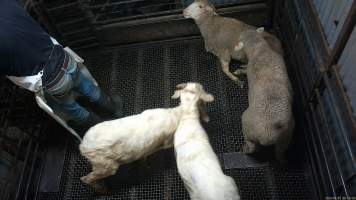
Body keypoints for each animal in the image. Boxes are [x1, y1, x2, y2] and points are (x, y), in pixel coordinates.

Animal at [78, 85, 209, 192]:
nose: (206, 119)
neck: (177, 115)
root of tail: (83, 146)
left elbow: (143, 156)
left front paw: (145, 165)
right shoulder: (164, 143)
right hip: (105, 166)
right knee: (86, 179)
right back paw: (101, 190)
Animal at [234, 27, 294, 162]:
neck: (260, 48)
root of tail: (270, 135)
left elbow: (245, 70)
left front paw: (240, 70)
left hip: (248, 126)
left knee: (251, 146)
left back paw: (245, 149)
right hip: (286, 137)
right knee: (280, 153)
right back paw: (283, 159)